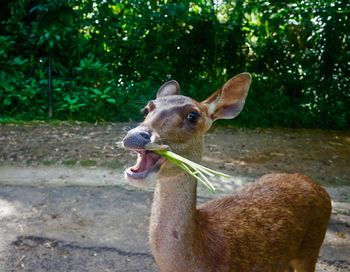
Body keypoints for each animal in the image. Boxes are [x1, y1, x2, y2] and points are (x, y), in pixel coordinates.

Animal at [122, 73, 330, 272]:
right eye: (146, 110)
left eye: (192, 116)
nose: (135, 136)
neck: (204, 258)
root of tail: (318, 187)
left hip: (312, 247)